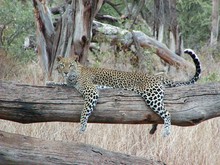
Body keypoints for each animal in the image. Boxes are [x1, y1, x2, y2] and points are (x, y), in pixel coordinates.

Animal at [46, 49, 201, 137]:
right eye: (62, 65)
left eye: (70, 65)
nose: (65, 72)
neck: (75, 76)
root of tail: (155, 77)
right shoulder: (71, 84)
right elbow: (62, 84)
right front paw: (50, 82)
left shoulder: (92, 92)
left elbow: (84, 111)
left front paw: (82, 127)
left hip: (152, 96)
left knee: (167, 113)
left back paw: (166, 132)